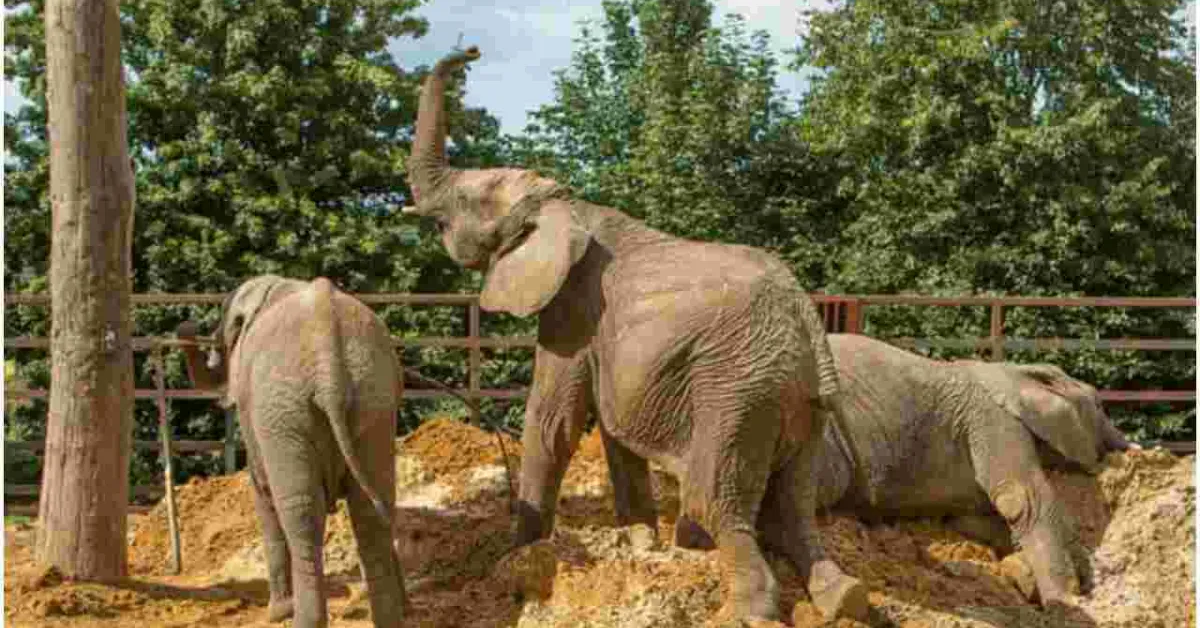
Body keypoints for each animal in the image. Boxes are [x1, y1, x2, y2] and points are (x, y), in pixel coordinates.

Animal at [176, 275, 407, 628]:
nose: (186, 326)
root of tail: (327, 359)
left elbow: (262, 492)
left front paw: (277, 613)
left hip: (283, 411)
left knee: (301, 511)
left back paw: (299, 618)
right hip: (374, 399)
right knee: (370, 510)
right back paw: (390, 618)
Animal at [400, 47, 868, 622]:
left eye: (464, 201)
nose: (471, 51)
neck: (565, 204)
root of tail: (806, 319)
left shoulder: (573, 307)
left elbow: (553, 420)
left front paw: (513, 562)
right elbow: (612, 427)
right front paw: (640, 543)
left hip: (738, 390)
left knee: (713, 499)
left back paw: (750, 609)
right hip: (806, 404)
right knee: (794, 506)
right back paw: (843, 595)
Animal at [674, 333, 1136, 606]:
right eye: (1100, 406)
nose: (1122, 447)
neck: (1009, 372)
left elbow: (973, 519)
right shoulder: (992, 420)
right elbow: (1020, 498)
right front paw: (1068, 599)